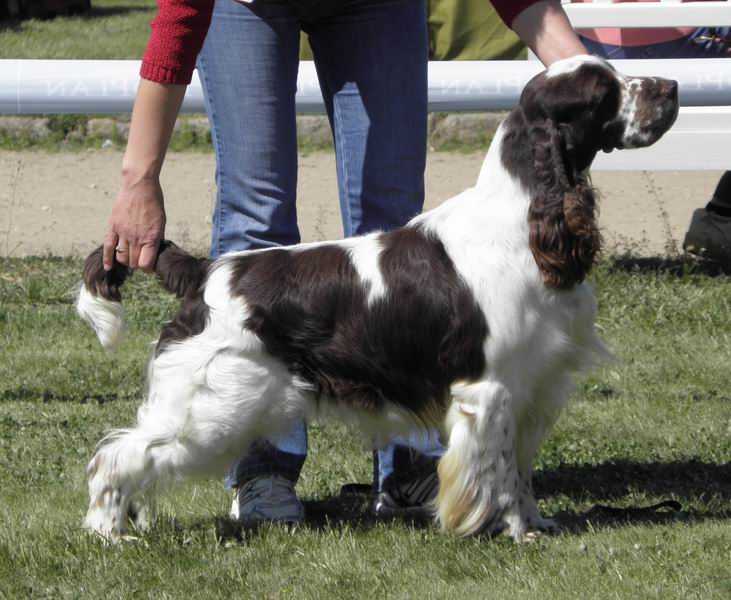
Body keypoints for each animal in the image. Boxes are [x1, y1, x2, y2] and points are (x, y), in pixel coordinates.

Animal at [77, 56, 676, 540]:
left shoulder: (533, 385)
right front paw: (510, 531)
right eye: (603, 91)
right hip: (211, 406)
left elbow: (521, 472)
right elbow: (499, 472)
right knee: (115, 456)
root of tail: (205, 271)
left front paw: (535, 524)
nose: (670, 85)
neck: (522, 218)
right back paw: (109, 534)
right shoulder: (490, 389)